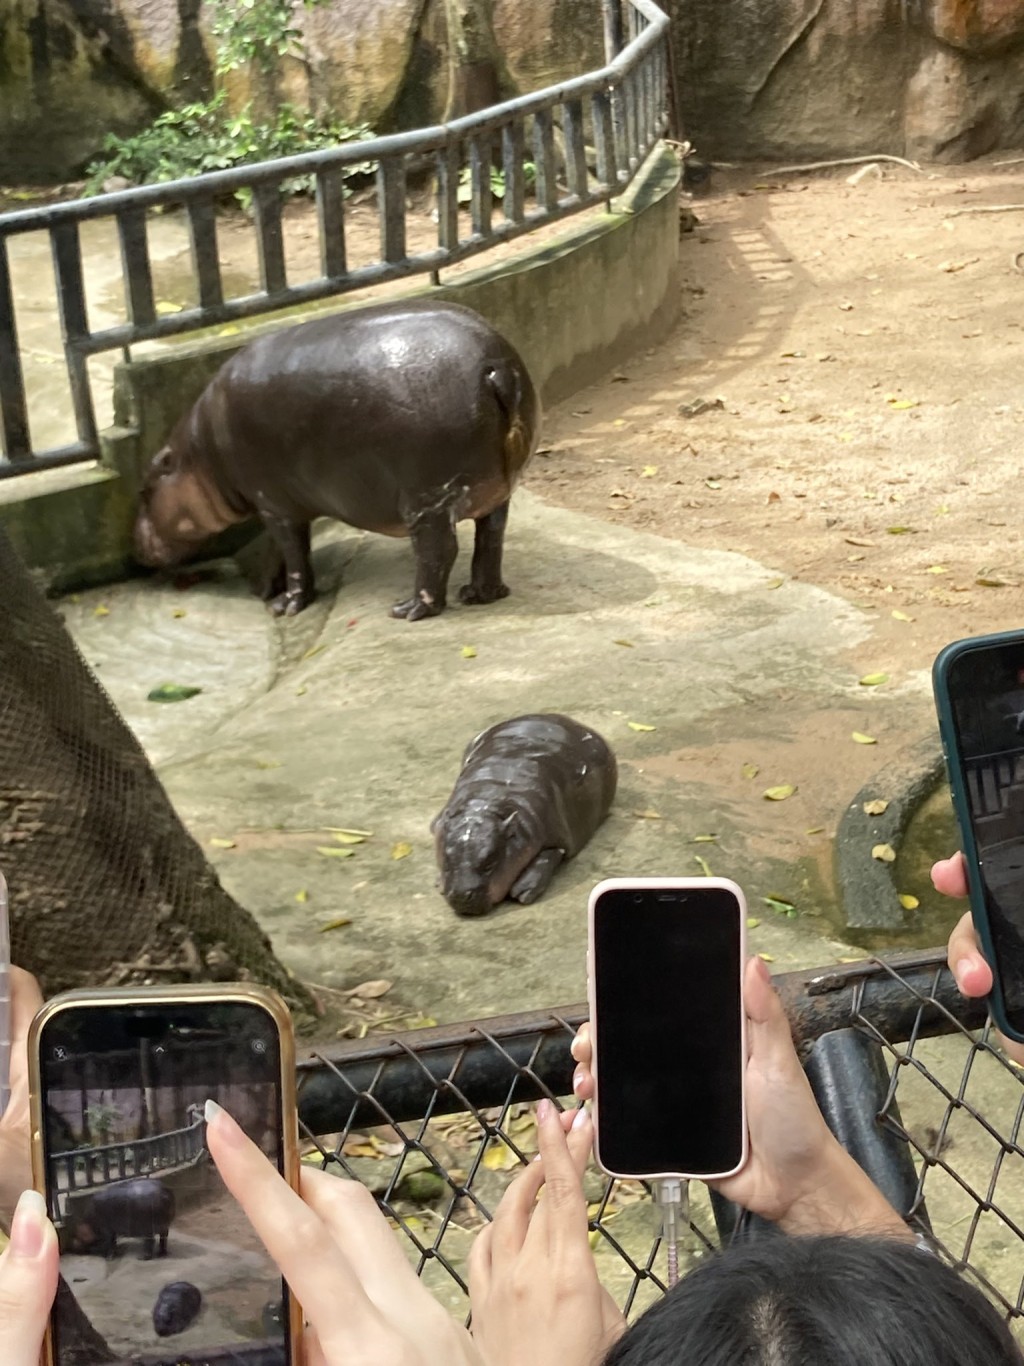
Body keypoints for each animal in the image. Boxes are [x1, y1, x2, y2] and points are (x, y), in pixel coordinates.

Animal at [134, 303, 546, 620]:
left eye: (145, 490)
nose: (135, 544)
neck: (202, 456)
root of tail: (497, 368)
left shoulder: (273, 504)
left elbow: (294, 556)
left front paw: (285, 606)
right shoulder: (278, 504)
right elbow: (279, 552)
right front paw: (267, 590)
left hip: (428, 501)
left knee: (439, 551)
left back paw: (409, 610)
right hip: (494, 493)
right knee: (490, 540)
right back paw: (479, 594)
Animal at [434, 715, 617, 917]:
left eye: (490, 863)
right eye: (447, 861)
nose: (461, 895)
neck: (485, 805)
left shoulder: (556, 834)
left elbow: (550, 854)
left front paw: (522, 892)